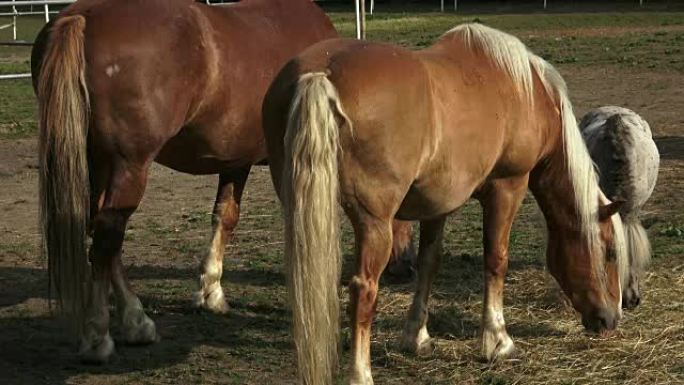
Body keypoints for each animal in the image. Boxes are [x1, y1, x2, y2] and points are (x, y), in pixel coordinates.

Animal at [30, 0, 412, 364]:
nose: (405, 266)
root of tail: (84, 15)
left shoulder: (234, 160)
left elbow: (225, 215)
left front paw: (210, 290)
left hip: (98, 162)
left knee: (102, 238)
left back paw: (135, 321)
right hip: (128, 165)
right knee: (106, 241)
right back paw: (99, 336)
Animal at [264, 22, 632, 382]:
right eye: (610, 252)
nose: (611, 318)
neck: (526, 91)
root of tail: (321, 73)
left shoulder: (435, 203)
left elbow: (429, 263)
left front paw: (417, 337)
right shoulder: (508, 187)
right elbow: (496, 259)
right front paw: (498, 340)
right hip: (374, 223)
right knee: (364, 290)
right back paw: (360, 373)